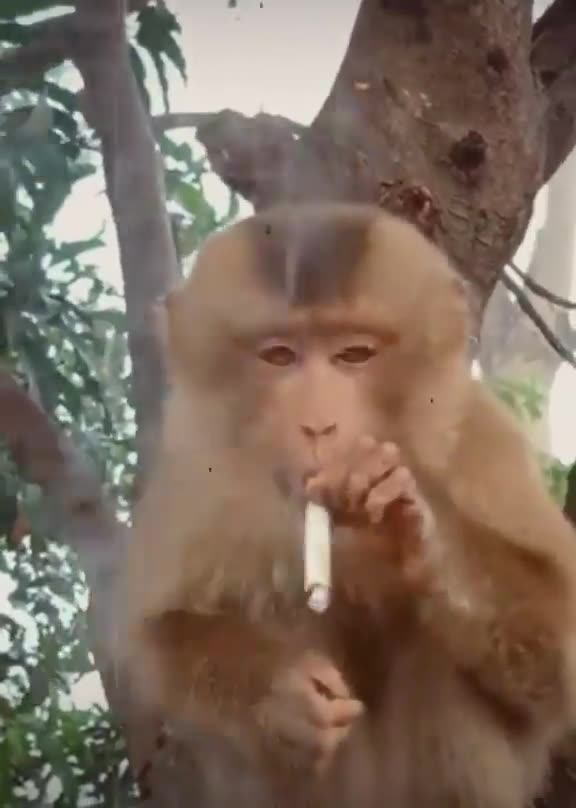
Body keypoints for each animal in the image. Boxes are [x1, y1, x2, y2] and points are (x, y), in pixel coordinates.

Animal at [119, 202, 576, 807]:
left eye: (353, 354)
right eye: (280, 356)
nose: (318, 426)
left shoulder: (479, 442)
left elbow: (561, 647)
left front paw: (411, 522)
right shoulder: (195, 472)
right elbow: (164, 631)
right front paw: (286, 697)